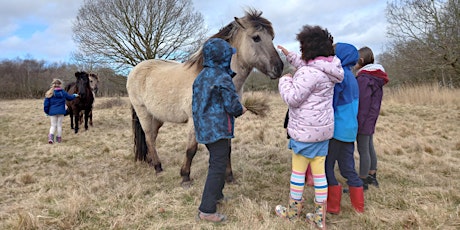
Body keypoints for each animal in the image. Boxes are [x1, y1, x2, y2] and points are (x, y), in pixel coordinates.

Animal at [126, 9, 284, 186]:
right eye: (256, 37)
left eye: (272, 38)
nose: (279, 68)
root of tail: (135, 70)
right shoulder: (194, 121)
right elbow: (191, 149)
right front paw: (185, 177)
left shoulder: (228, 118)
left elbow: (227, 149)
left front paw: (229, 177)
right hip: (143, 113)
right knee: (149, 138)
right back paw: (158, 167)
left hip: (157, 117)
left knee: (152, 137)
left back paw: (152, 162)